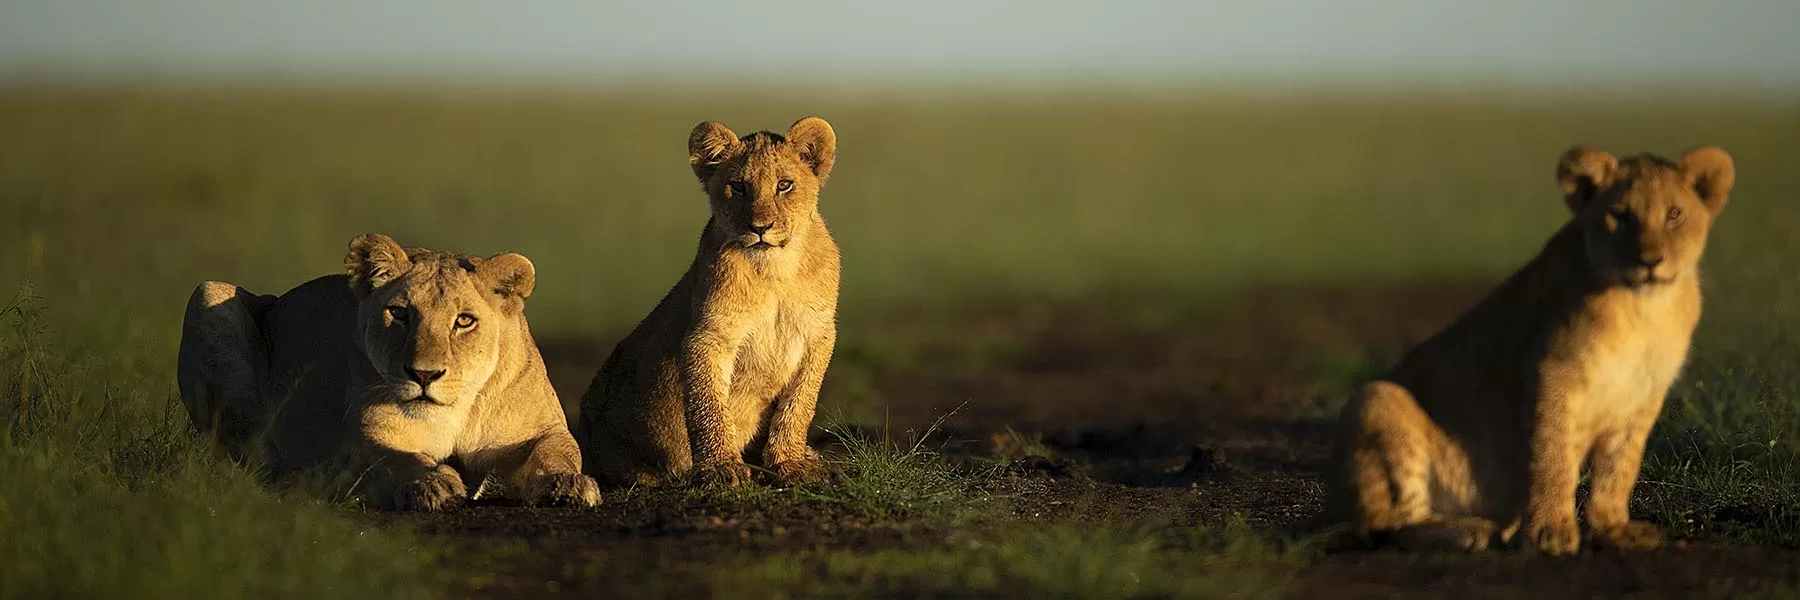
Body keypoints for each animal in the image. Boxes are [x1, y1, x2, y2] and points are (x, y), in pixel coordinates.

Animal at [176, 233, 601, 510]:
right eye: (399, 313)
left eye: (464, 321)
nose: (424, 375)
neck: (457, 408)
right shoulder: (371, 435)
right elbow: (397, 458)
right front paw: (434, 483)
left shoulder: (539, 431)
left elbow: (559, 451)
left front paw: (569, 485)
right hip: (209, 293)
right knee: (253, 458)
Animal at [575, 117, 841, 488]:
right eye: (738, 187)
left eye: (784, 185)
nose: (760, 227)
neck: (775, 269)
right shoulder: (708, 334)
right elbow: (709, 404)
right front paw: (721, 467)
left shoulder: (818, 334)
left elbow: (799, 405)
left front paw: (790, 461)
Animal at [1323, 146, 1736, 555]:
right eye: (1621, 216)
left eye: (1674, 214)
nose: (1649, 261)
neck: (1644, 309)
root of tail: (1332, 503)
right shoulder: (1551, 372)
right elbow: (1551, 457)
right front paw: (1548, 533)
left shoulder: (1641, 396)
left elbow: (1619, 469)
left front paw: (1613, 529)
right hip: (1376, 399)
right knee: (1389, 526)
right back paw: (1471, 530)